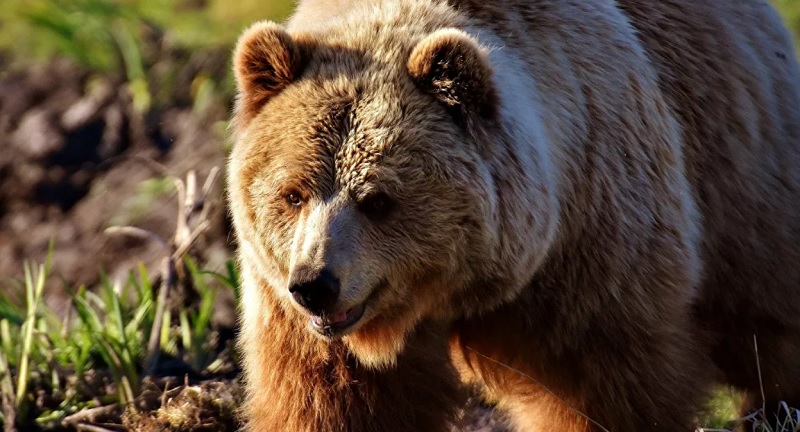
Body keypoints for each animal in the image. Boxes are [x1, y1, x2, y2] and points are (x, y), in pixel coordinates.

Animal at [223, 1, 800, 430]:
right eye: (293, 194)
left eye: (378, 199)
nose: (315, 284)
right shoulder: (294, 315)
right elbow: (338, 402)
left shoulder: (592, 246)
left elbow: (603, 388)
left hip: (738, 173)